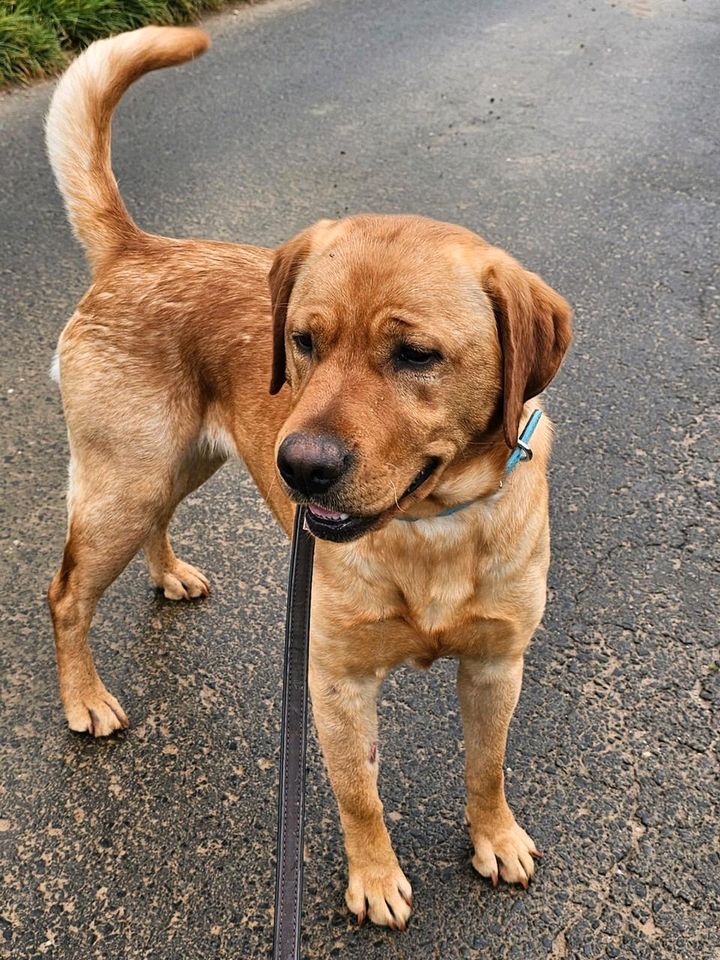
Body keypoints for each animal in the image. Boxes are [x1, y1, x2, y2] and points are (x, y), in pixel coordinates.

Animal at [46, 28, 572, 928]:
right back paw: (84, 697)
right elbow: (359, 795)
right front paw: (374, 878)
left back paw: (169, 574)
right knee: (66, 595)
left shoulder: (497, 666)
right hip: (125, 483)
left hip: (177, 468)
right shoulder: (335, 682)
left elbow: (487, 767)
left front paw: (495, 838)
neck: (432, 525)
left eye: (415, 355)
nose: (301, 467)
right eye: (302, 341)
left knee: (154, 528)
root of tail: (140, 248)